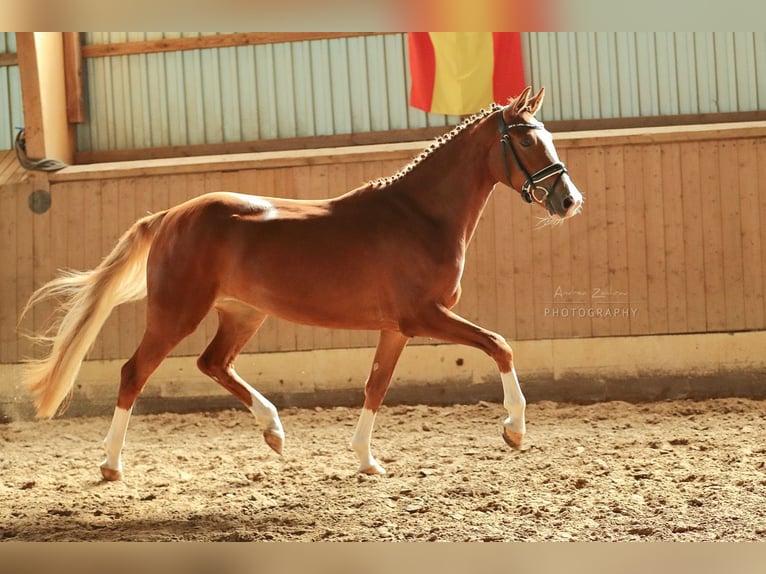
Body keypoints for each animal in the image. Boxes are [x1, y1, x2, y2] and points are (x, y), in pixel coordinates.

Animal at [21, 87, 583, 481]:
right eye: (526, 138)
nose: (568, 201)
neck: (419, 215)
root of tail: (170, 216)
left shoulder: (396, 328)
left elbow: (376, 385)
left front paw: (366, 461)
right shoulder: (425, 316)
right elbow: (500, 345)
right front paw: (514, 430)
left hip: (243, 313)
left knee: (213, 363)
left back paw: (273, 431)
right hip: (175, 312)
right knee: (134, 373)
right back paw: (111, 465)